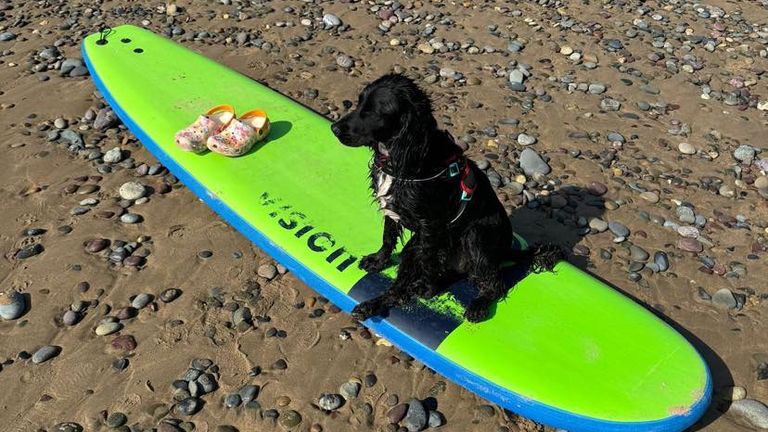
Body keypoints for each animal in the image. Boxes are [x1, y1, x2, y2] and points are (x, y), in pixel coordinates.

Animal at [330, 73, 560, 320]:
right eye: (359, 103)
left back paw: (476, 305)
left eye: (372, 112)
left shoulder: (430, 226)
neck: (407, 155)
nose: (334, 128)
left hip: (475, 235)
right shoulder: (394, 210)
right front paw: (378, 260)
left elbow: (421, 264)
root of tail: (505, 250)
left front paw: (417, 290)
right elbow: (388, 237)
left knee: (495, 283)